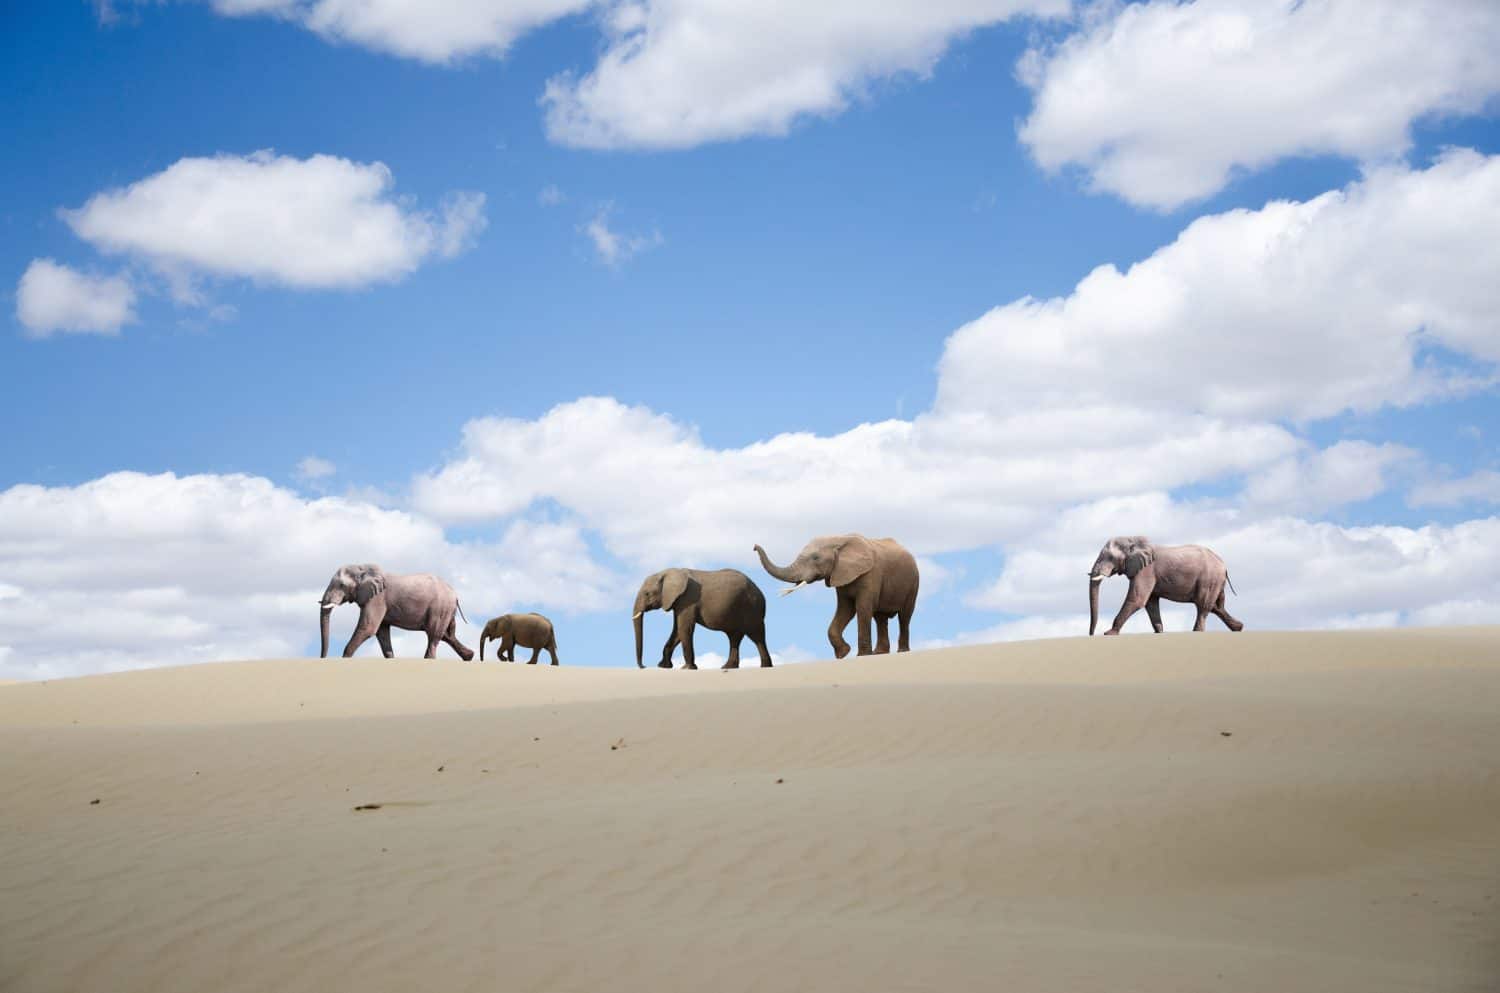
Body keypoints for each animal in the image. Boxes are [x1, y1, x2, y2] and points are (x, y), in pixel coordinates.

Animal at [318, 563, 474, 660]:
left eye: (341, 585)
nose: (322, 657)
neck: (363, 567)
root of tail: (455, 594)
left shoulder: (377, 598)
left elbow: (368, 628)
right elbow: (382, 633)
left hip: (440, 607)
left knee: (433, 635)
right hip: (446, 609)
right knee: (446, 635)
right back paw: (469, 656)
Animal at [632, 568, 773, 670]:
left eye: (647, 594)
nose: (643, 666)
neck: (668, 572)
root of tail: (761, 593)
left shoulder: (688, 600)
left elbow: (684, 629)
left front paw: (687, 668)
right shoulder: (678, 602)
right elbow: (677, 631)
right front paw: (663, 667)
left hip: (752, 609)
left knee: (757, 636)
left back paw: (765, 666)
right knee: (734, 638)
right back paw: (727, 667)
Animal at [755, 534, 919, 658]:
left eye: (816, 558)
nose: (754, 546)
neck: (839, 539)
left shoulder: (871, 573)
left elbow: (862, 608)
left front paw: (862, 656)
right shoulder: (840, 574)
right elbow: (846, 609)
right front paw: (843, 654)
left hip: (913, 583)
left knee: (904, 616)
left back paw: (901, 651)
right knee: (880, 618)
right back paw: (879, 653)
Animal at [1088, 536, 1244, 636]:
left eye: (1110, 557)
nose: (1091, 634)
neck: (1133, 539)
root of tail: (1223, 565)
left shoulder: (1146, 570)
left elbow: (1137, 599)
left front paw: (1109, 633)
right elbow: (1150, 603)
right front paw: (1159, 632)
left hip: (1209, 579)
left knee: (1203, 605)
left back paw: (1197, 632)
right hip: (1216, 581)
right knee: (1216, 607)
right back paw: (1239, 627)